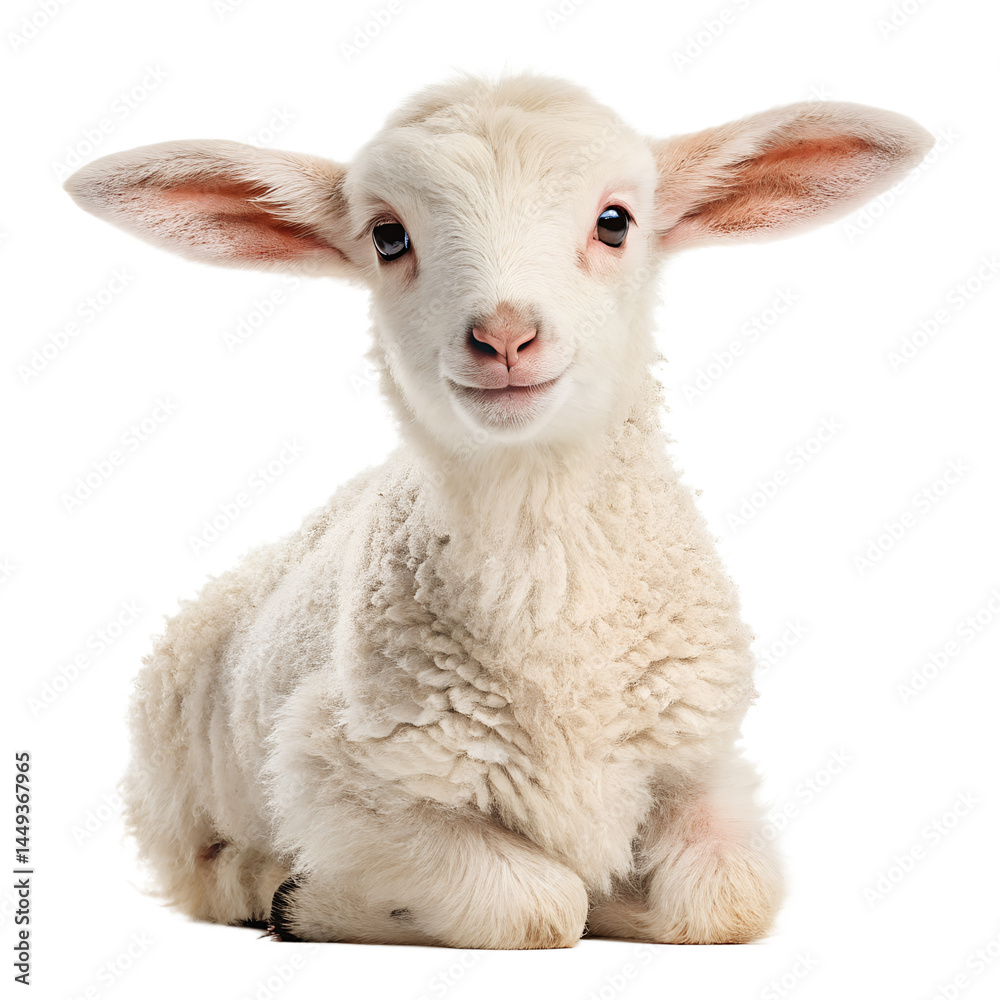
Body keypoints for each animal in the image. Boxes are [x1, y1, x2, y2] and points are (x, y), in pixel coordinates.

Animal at [64, 73, 932, 949]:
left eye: (614, 222)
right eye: (388, 237)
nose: (505, 336)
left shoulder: (700, 753)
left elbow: (728, 901)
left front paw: (635, 898)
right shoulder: (330, 768)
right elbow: (539, 905)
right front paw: (325, 903)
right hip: (174, 786)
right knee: (203, 869)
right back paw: (270, 888)